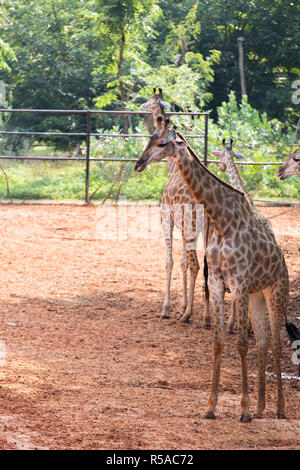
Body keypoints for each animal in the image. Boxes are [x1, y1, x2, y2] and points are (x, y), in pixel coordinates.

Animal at [139, 87, 207, 324]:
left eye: (149, 101)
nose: (139, 165)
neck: (173, 167)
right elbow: (183, 262)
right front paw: (183, 305)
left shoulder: (166, 219)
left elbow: (170, 261)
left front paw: (167, 308)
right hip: (206, 230)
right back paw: (207, 317)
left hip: (189, 227)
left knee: (196, 264)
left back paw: (188, 316)